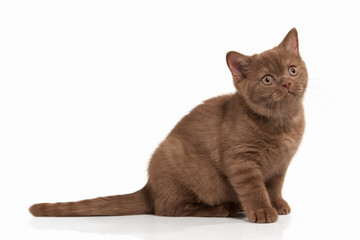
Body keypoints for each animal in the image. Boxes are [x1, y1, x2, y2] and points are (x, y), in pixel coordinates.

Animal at [29, 29, 308, 224]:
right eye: (267, 79)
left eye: (292, 70)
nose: (286, 83)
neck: (283, 123)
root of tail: (149, 187)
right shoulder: (242, 162)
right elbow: (254, 189)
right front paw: (262, 211)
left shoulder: (280, 165)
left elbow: (273, 187)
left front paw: (277, 204)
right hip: (182, 162)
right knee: (167, 209)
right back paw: (224, 208)